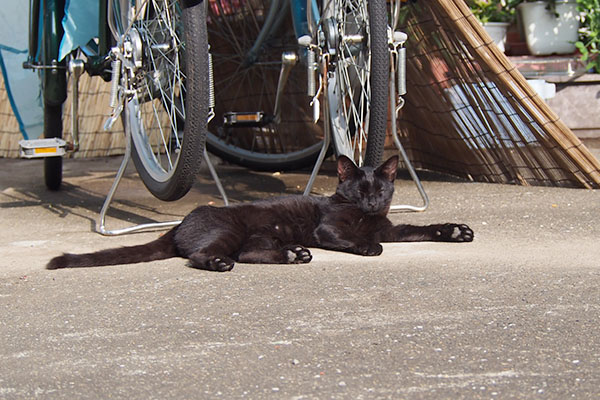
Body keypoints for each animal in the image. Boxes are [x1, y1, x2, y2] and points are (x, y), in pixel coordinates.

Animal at [47, 156, 474, 272]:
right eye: (358, 190)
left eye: (381, 190)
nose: (371, 203)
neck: (368, 219)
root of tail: (181, 222)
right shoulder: (328, 229)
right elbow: (351, 238)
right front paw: (368, 248)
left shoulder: (390, 228)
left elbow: (420, 229)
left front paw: (454, 231)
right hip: (228, 232)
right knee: (205, 255)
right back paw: (221, 263)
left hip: (261, 235)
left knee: (251, 253)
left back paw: (293, 255)